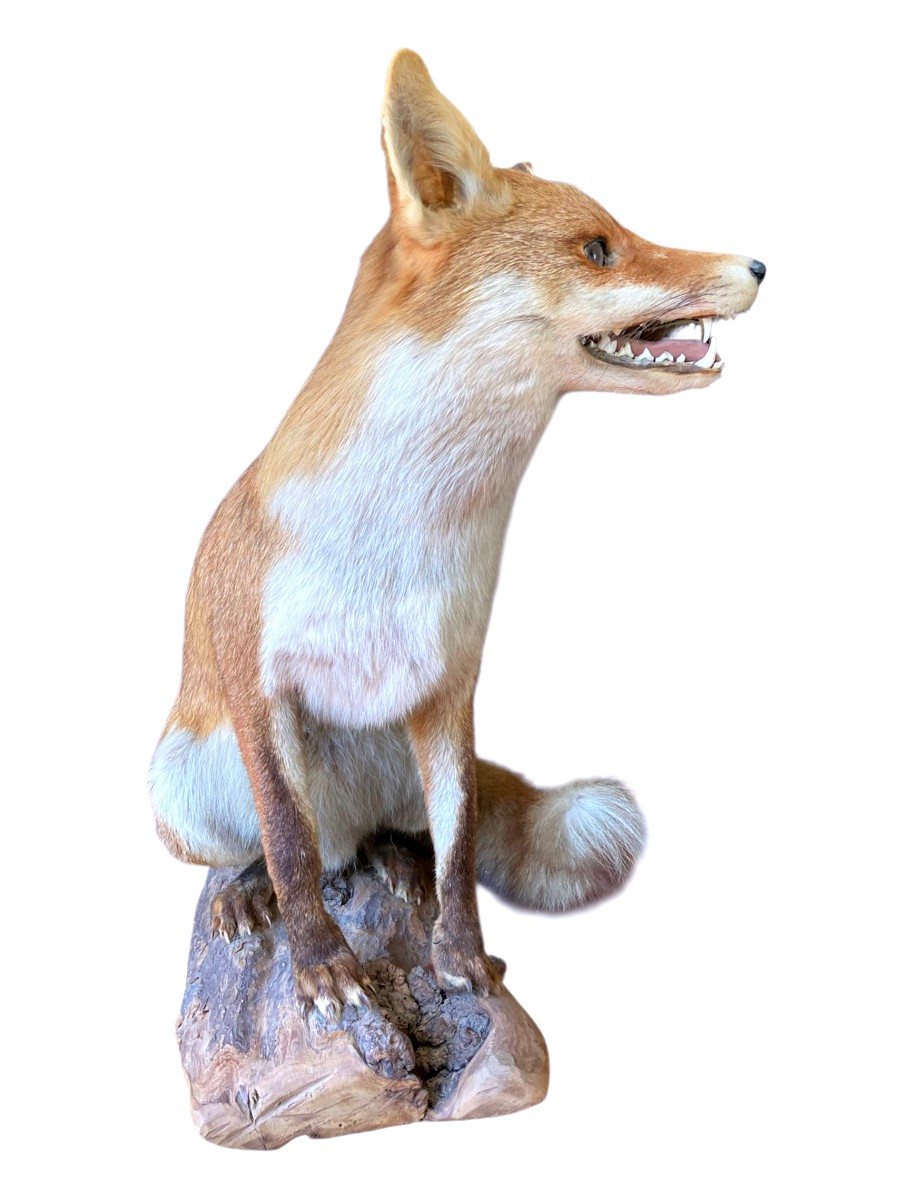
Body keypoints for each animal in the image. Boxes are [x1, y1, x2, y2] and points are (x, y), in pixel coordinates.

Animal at [149, 49, 764, 1019]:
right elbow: (285, 840)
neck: (393, 537)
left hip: (397, 765)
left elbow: (463, 850)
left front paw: (464, 962)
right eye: (598, 247)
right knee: (290, 850)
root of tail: (351, 827)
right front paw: (321, 964)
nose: (759, 265)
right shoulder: (257, 684)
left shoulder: (451, 687)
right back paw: (251, 893)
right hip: (181, 781)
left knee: (395, 838)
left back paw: (393, 864)